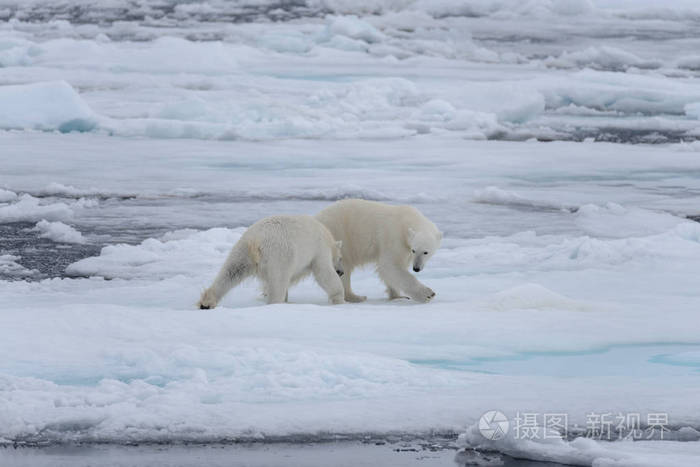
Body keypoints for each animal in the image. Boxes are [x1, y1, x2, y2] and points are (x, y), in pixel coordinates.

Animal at [197, 216, 344, 310]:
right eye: (341, 258)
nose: (341, 272)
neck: (328, 238)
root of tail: (256, 240)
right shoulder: (319, 250)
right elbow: (324, 273)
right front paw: (339, 299)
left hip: (242, 251)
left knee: (230, 272)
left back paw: (206, 303)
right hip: (280, 255)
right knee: (279, 282)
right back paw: (276, 305)